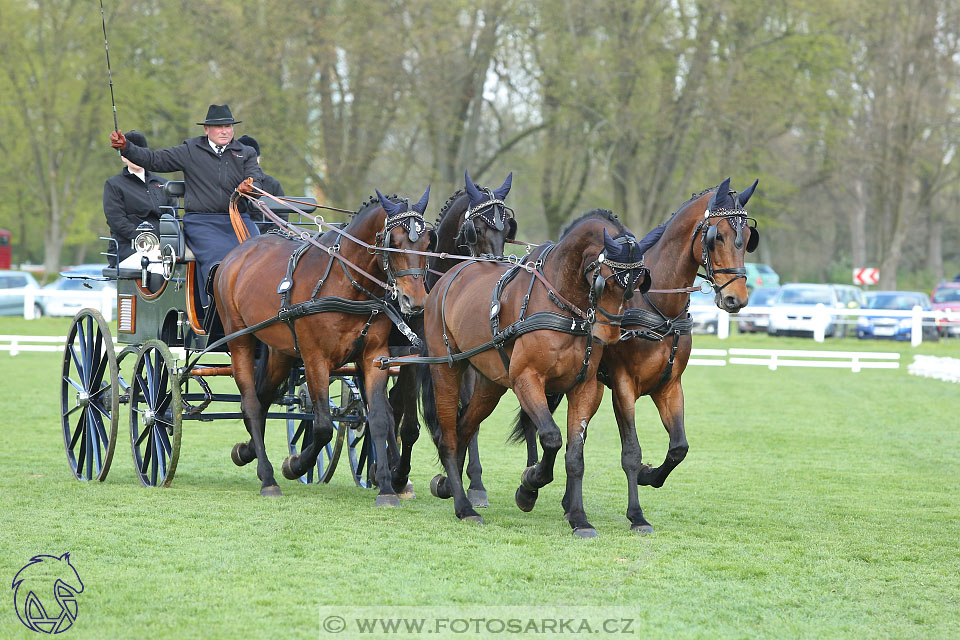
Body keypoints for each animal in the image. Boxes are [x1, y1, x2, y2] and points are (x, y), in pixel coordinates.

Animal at [216, 188, 434, 502]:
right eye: (394, 242)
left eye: (428, 241)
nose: (414, 301)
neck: (347, 283)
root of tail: (239, 252)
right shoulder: (315, 359)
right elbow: (321, 428)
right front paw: (295, 465)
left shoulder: (374, 357)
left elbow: (380, 418)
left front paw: (386, 487)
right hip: (240, 340)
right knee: (252, 404)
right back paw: (268, 478)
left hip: (281, 352)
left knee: (262, 398)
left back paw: (248, 453)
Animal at [386, 171, 516, 504]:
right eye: (475, 229)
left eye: (507, 228)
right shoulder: (415, 361)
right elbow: (411, 426)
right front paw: (400, 476)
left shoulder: (469, 362)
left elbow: (469, 416)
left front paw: (473, 483)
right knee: (392, 407)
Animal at [418, 211, 648, 536]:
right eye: (606, 282)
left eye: (637, 284)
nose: (609, 334)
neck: (562, 303)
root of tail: (446, 279)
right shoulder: (526, 379)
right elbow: (551, 437)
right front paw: (529, 486)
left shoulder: (585, 387)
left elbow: (575, 455)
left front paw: (579, 518)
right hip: (446, 369)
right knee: (448, 436)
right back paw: (464, 507)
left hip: (490, 384)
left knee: (465, 427)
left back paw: (449, 487)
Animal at [510, 178, 756, 532]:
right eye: (717, 236)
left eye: (748, 238)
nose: (737, 298)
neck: (658, 307)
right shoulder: (624, 386)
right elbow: (631, 451)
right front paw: (637, 514)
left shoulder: (670, 386)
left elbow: (679, 447)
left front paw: (649, 475)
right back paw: (531, 487)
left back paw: (566, 503)